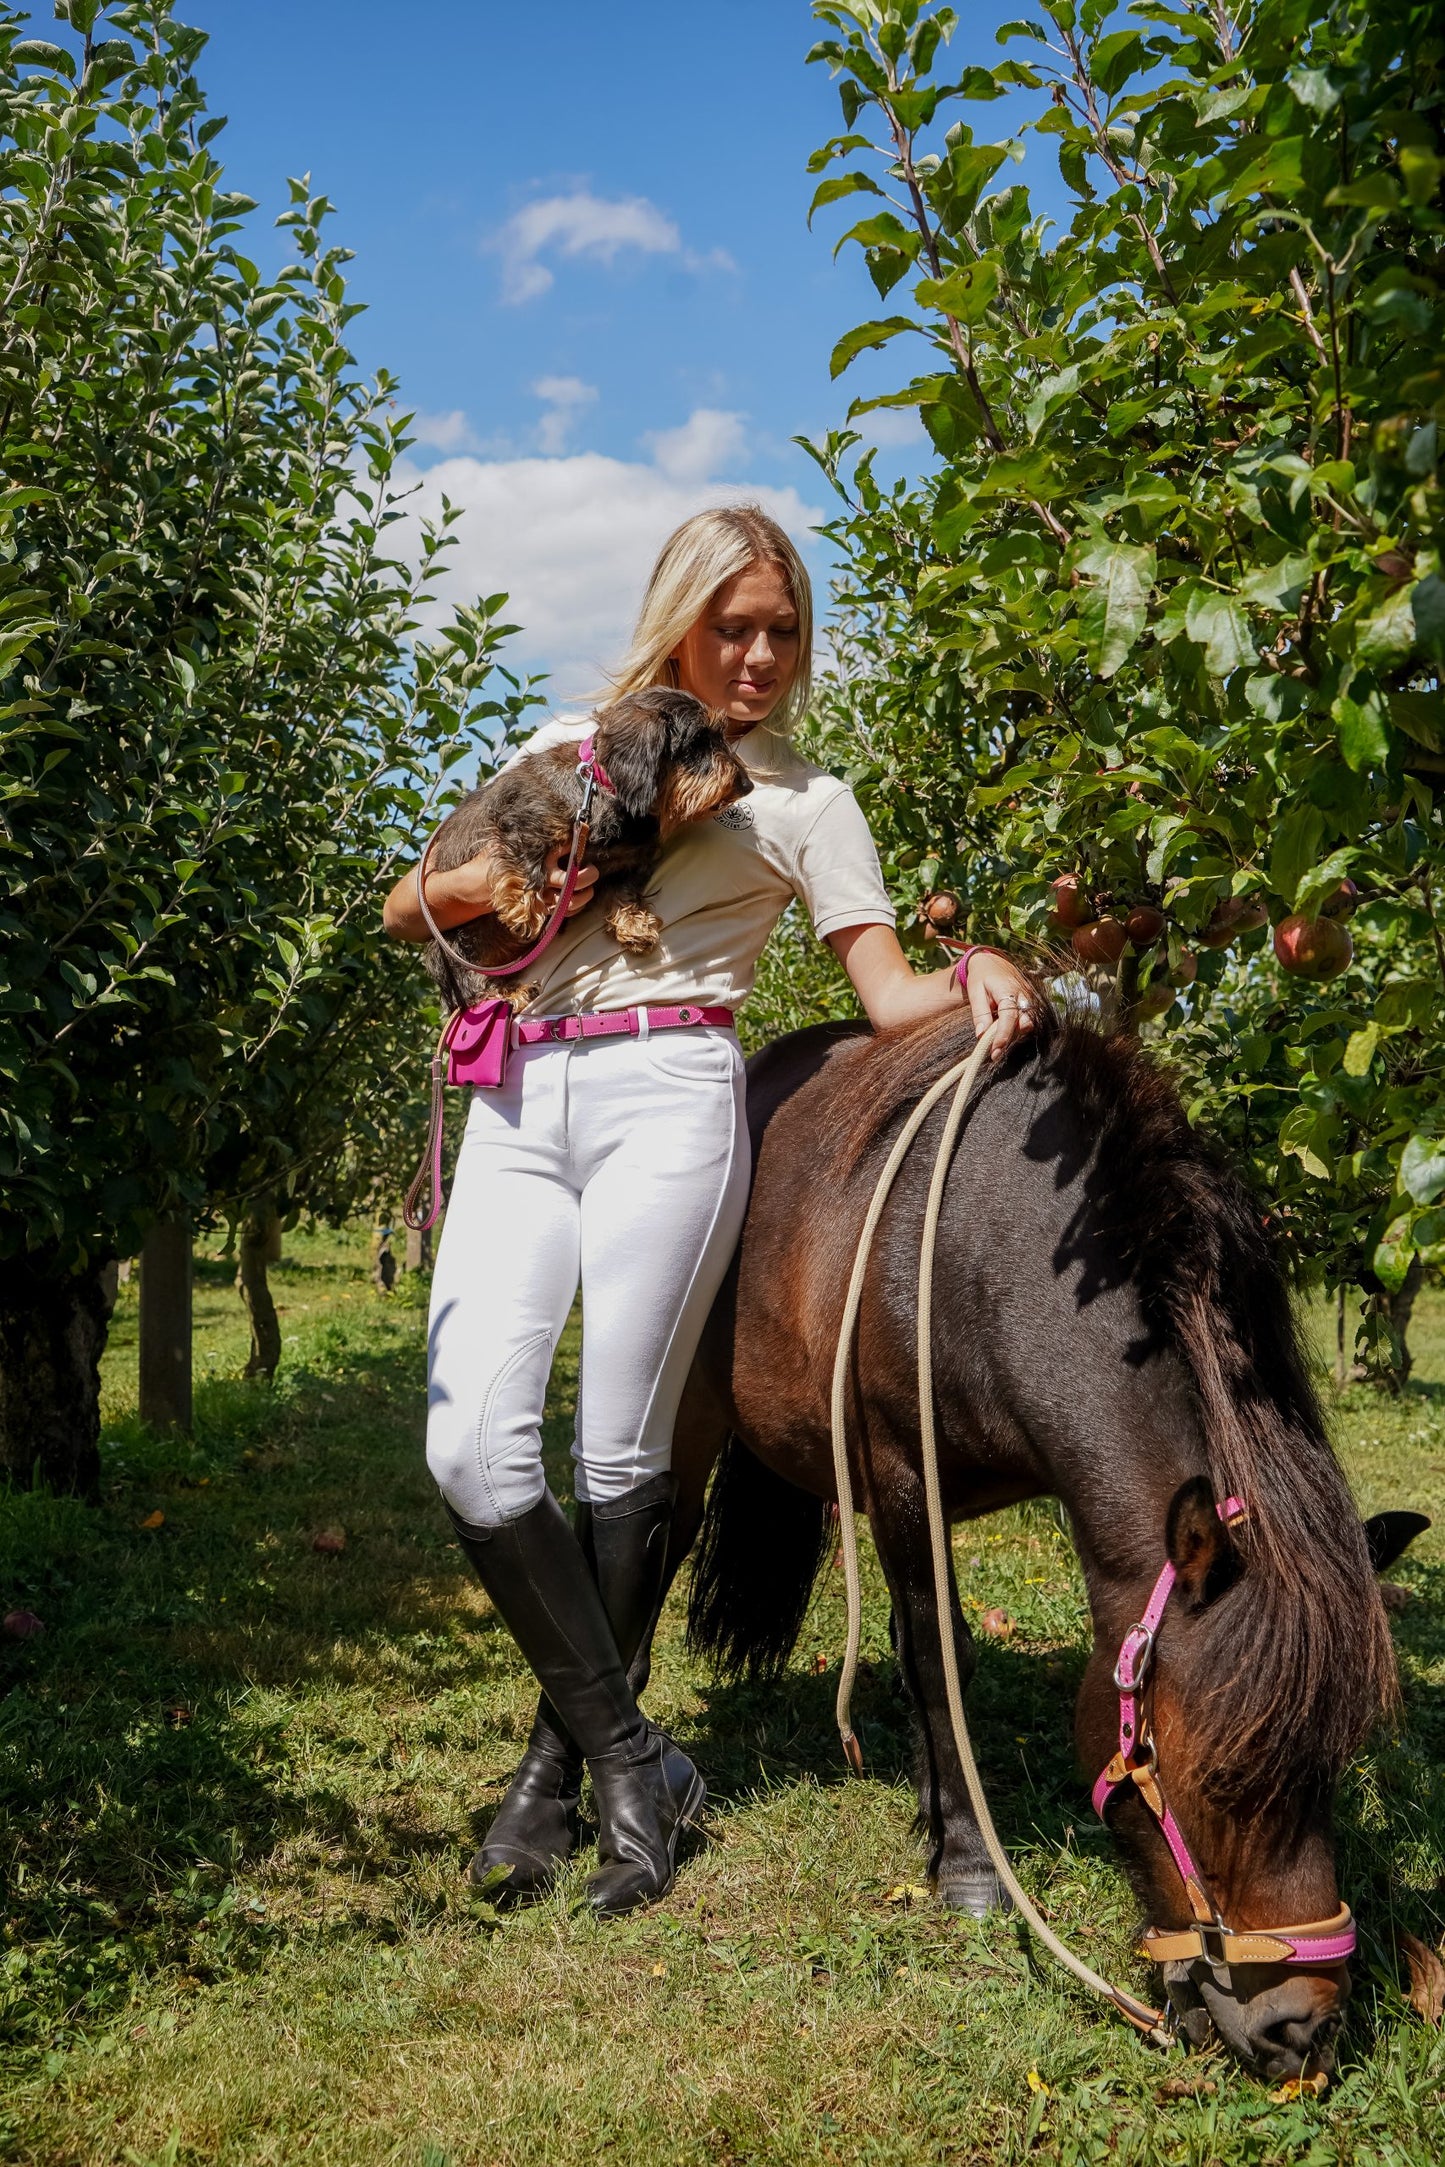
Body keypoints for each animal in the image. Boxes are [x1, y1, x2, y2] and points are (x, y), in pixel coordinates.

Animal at [662, 998, 1404, 2080]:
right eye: (1219, 1777)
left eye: (1334, 1763)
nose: (1300, 2028)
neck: (982, 1252)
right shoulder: (902, 1478)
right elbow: (938, 1661)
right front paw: (968, 1864)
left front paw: (937, 1818)